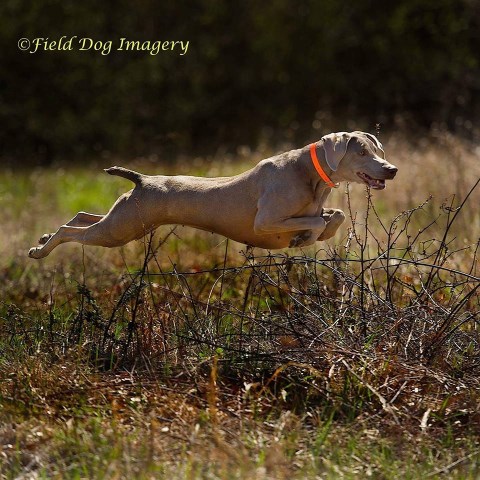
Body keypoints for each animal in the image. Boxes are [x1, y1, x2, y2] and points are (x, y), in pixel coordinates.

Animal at [29, 130, 398, 258]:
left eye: (377, 149)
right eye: (361, 152)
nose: (391, 169)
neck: (309, 173)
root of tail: (142, 179)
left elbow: (335, 216)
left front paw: (309, 235)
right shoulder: (266, 222)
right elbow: (317, 221)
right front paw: (303, 236)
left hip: (124, 218)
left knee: (81, 217)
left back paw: (44, 238)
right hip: (119, 230)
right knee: (70, 231)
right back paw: (40, 250)